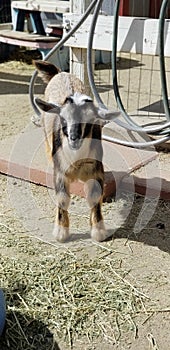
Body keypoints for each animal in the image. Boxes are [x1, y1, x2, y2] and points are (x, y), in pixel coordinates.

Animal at [34, 60, 119, 242]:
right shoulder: (60, 172)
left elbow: (94, 197)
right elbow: (62, 198)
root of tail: (61, 73)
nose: (74, 139)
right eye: (63, 118)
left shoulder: (96, 171)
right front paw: (61, 232)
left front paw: (99, 231)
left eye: (91, 120)